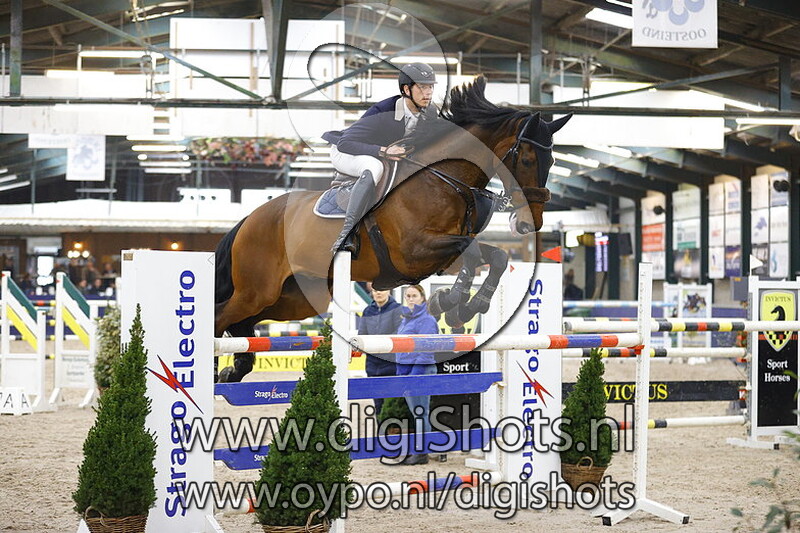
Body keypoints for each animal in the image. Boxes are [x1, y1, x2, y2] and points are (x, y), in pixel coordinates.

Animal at [214, 76, 570, 382]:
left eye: (552, 162)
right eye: (527, 160)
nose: (529, 223)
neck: (444, 180)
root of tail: (249, 219)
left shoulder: (440, 255)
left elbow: (493, 257)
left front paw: (464, 304)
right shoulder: (415, 252)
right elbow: (473, 254)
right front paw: (453, 302)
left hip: (293, 298)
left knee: (242, 322)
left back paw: (234, 370)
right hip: (257, 290)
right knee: (220, 316)